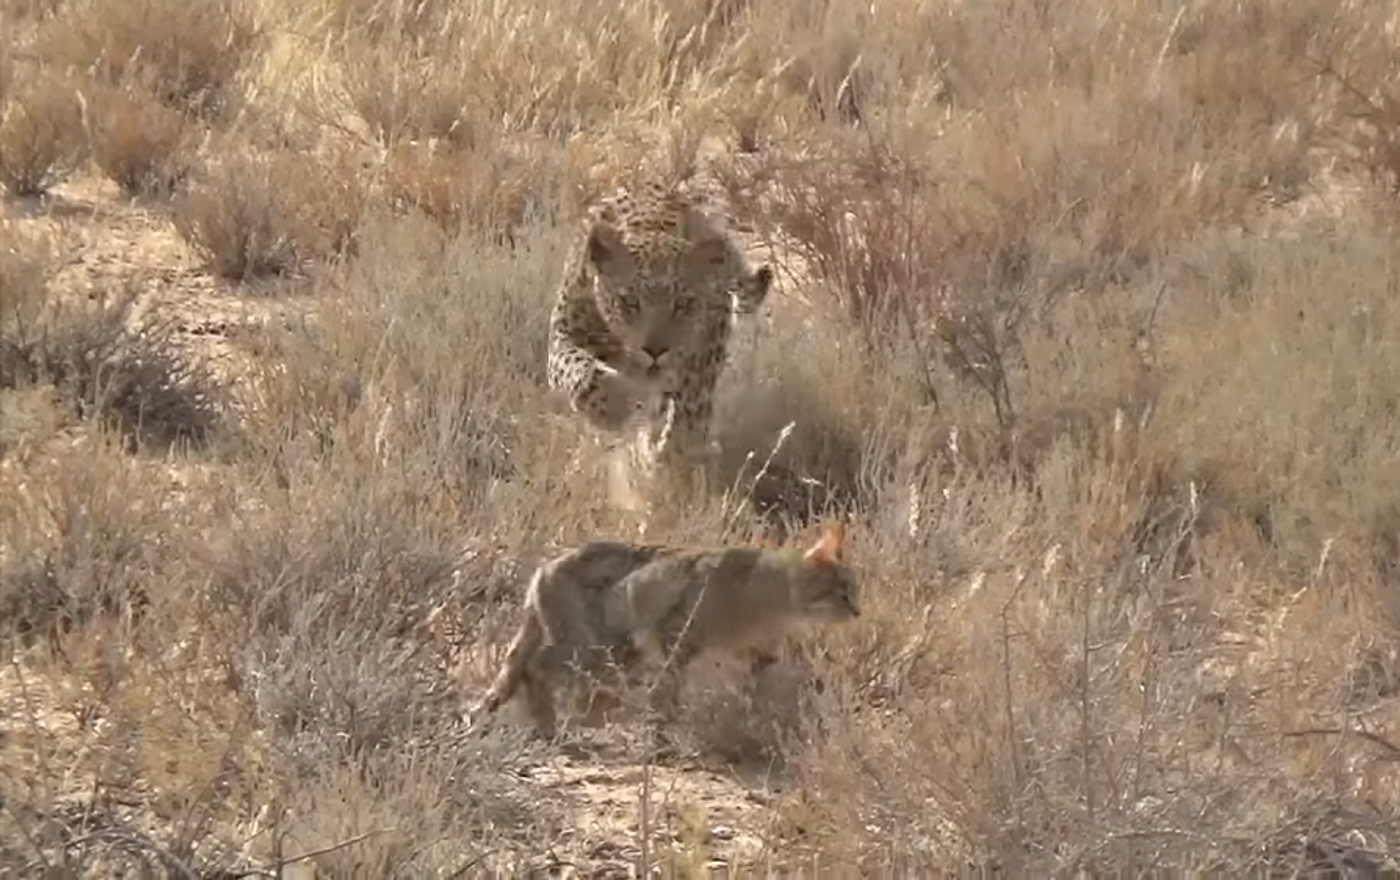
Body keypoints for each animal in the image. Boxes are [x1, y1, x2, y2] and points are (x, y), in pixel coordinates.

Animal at [470, 526, 856, 738]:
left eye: (855, 591)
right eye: (843, 593)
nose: (858, 611)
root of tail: (543, 569)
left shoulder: (754, 652)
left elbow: (756, 683)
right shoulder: (675, 637)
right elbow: (667, 692)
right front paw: (663, 731)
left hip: (613, 650)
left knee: (522, 669)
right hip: (588, 646)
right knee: (535, 668)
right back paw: (549, 723)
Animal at [543, 174, 772, 470]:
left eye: (683, 304)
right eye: (629, 301)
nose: (655, 351)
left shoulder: (700, 355)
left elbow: (687, 411)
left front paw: (671, 453)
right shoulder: (565, 333)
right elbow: (577, 367)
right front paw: (612, 406)